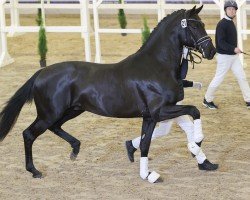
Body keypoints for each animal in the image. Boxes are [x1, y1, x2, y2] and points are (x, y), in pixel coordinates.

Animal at [0, 5, 215, 181]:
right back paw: (34, 170)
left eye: (203, 24)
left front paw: (147, 173)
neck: (156, 66)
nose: (211, 51)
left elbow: (145, 143)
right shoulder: (159, 112)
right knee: (29, 134)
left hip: (72, 110)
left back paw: (75, 149)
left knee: (55, 127)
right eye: (194, 26)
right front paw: (197, 141)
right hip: (48, 114)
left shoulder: (149, 116)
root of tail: (41, 73)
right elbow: (194, 110)